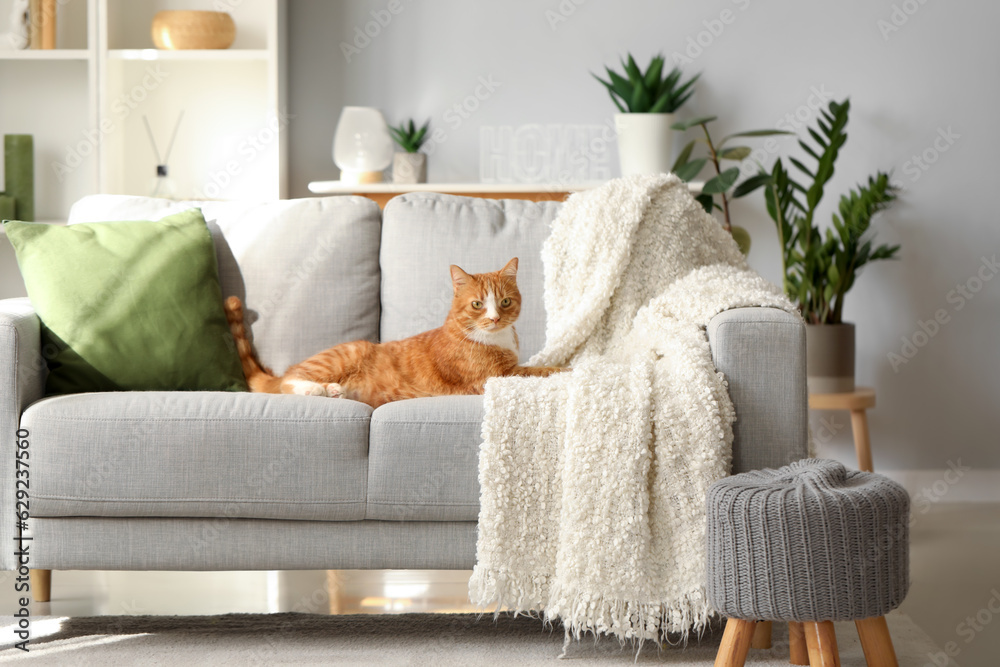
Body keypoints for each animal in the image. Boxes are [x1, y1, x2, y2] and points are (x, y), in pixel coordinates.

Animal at [226, 258, 564, 410]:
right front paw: (565, 369)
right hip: (343, 355)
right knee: (287, 382)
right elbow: (538, 370)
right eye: (478, 304)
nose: (494, 318)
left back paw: (335, 391)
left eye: (505, 302)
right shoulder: (493, 376)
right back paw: (317, 390)